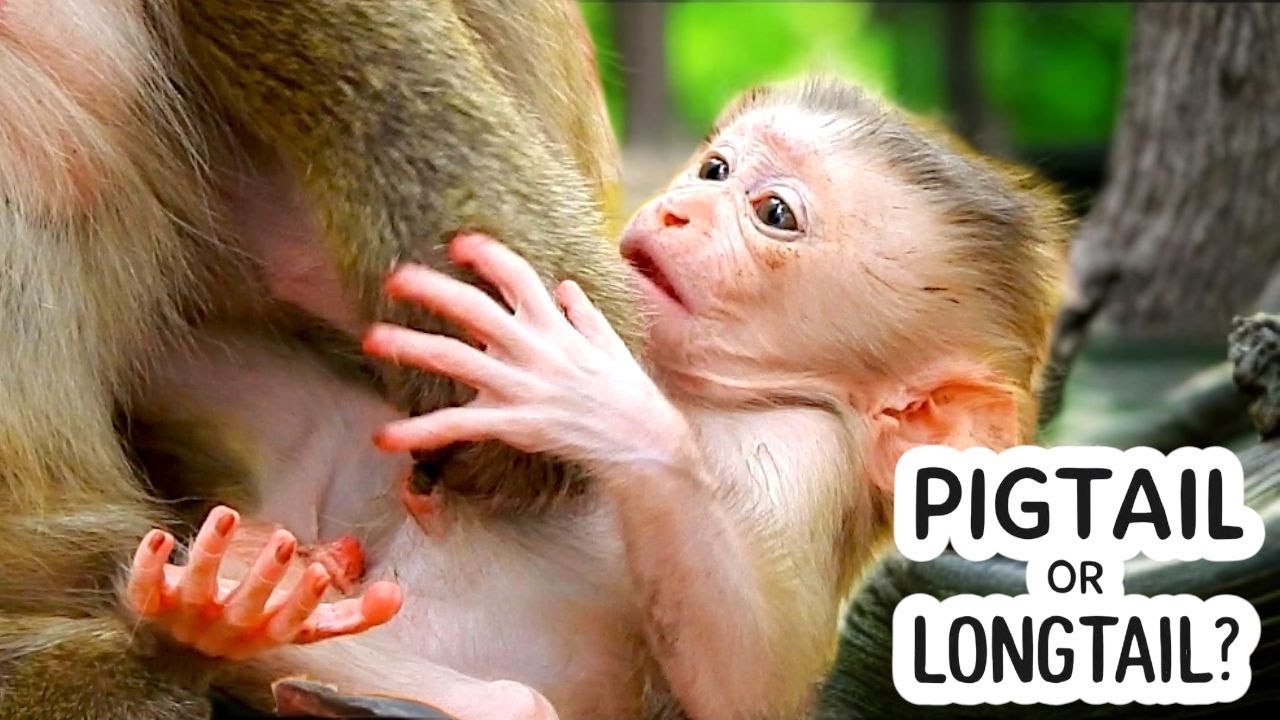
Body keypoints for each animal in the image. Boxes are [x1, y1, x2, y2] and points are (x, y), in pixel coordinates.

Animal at [121, 76, 1072, 720]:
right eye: (715, 168)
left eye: (773, 213)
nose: (681, 208)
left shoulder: (806, 458)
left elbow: (753, 678)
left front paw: (592, 396)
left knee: (514, 703)